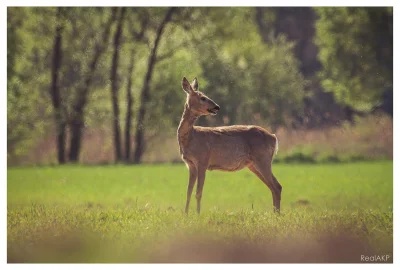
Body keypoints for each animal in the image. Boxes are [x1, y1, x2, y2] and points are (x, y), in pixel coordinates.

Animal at [178, 77, 282, 214]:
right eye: (202, 98)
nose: (217, 107)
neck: (191, 137)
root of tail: (274, 137)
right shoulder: (190, 165)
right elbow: (188, 192)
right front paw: (185, 214)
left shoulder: (203, 161)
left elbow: (198, 193)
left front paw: (198, 214)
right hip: (253, 164)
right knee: (273, 187)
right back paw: (275, 213)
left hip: (263, 159)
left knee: (277, 186)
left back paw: (277, 215)